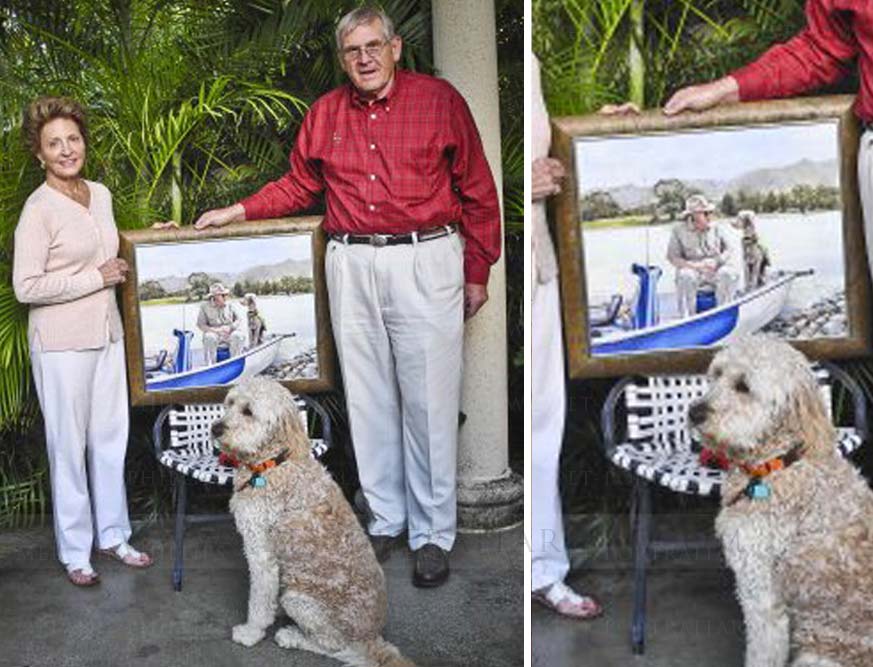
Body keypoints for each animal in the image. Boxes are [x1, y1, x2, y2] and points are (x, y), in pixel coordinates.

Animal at [213, 378, 414, 664]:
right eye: (229, 403)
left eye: (248, 411)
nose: (215, 428)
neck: (273, 463)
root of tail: (371, 639)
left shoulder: (261, 551)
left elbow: (259, 601)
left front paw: (251, 632)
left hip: (299, 600)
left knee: (334, 646)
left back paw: (292, 636)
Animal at [688, 340, 872, 667]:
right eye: (716, 374)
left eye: (743, 386)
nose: (693, 412)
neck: (774, 465)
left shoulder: (760, 589)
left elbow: (762, 652)